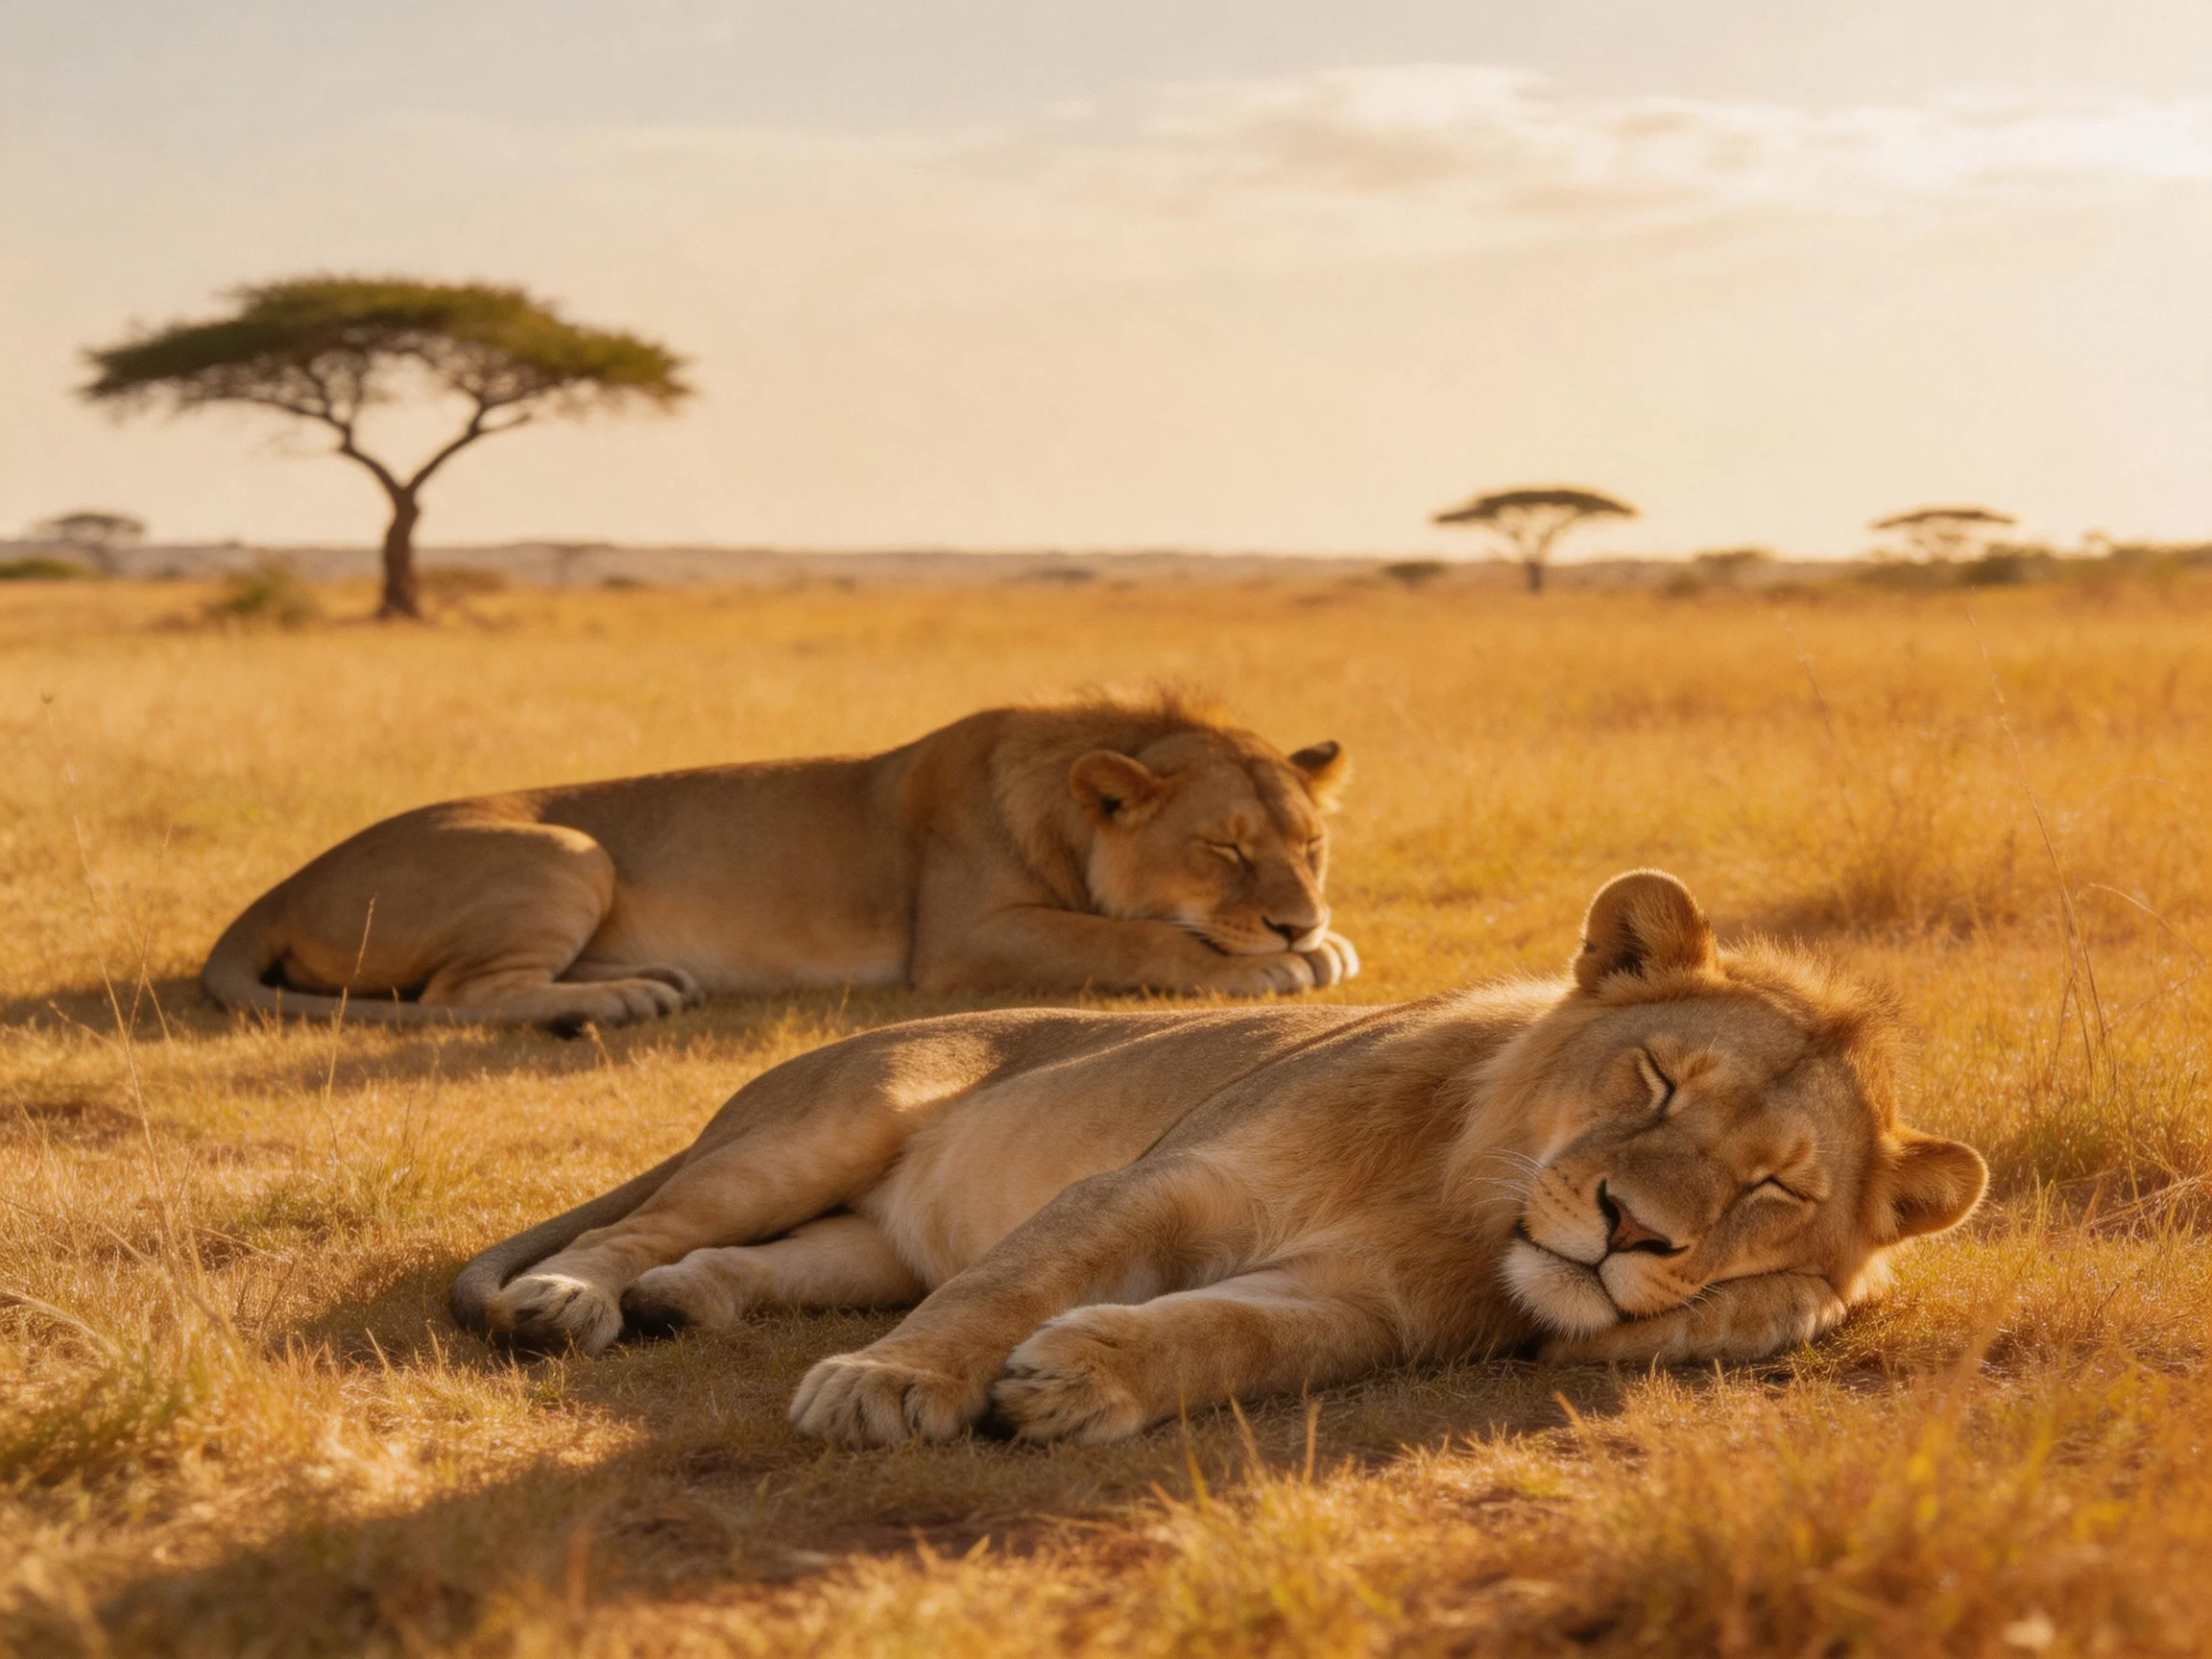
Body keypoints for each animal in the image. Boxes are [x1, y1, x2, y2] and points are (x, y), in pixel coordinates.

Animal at [200, 694, 1357, 1029]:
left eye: (1312, 848)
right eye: (1224, 849)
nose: (1299, 918)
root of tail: (280, 887)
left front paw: (1327, 942)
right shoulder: (963, 942)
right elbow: (1128, 943)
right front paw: (1278, 963)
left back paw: (650, 980)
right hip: (568, 849)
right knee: (457, 999)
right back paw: (621, 1002)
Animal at [446, 871, 1986, 1445]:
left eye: (1773, 1188)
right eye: (1659, 1079)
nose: (1629, 1229)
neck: (1459, 1197)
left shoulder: (1370, 1306)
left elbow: (1240, 1336)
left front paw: (1085, 1380)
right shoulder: (1159, 1185)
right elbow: (1007, 1287)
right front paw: (891, 1388)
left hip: (864, 1240)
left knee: (747, 1262)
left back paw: (686, 1304)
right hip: (826, 1123)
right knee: (642, 1226)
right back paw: (572, 1299)